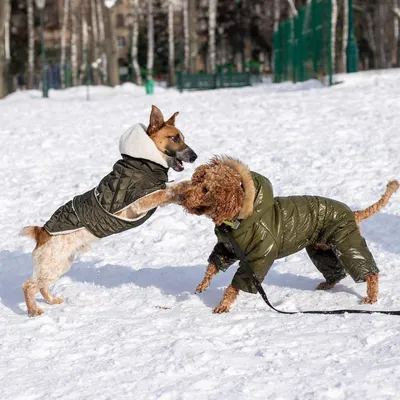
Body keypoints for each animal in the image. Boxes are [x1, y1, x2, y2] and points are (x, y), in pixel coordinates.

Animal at [21, 105, 196, 316]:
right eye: (174, 138)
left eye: (183, 137)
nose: (195, 156)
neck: (144, 162)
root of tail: (41, 232)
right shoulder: (140, 202)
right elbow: (167, 192)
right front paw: (185, 189)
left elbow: (169, 190)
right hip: (53, 264)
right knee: (28, 285)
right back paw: (34, 310)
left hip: (61, 263)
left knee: (41, 286)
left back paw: (52, 301)